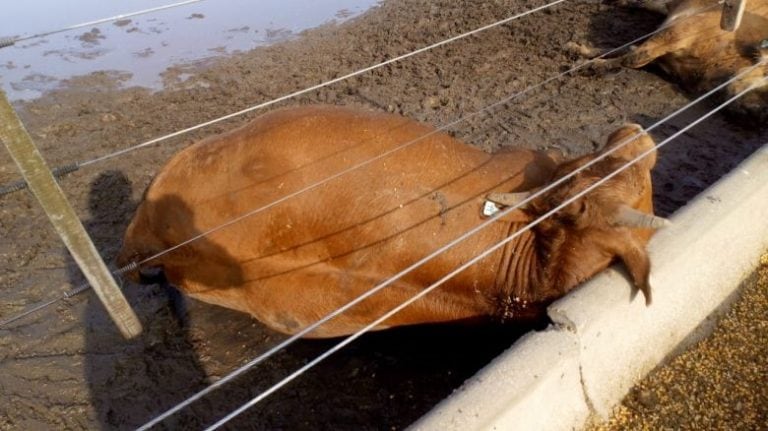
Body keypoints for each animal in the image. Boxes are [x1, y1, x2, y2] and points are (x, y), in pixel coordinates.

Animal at [572, 0, 764, 120]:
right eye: (764, 73)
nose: (759, 112)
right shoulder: (678, 31)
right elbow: (635, 57)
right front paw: (582, 61)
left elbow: (631, 52)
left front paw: (579, 53)